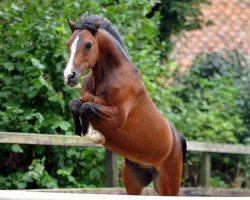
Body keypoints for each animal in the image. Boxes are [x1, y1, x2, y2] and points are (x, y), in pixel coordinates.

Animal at [63, 15, 187, 195]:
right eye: (68, 44)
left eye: (88, 44)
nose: (69, 77)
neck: (109, 75)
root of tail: (177, 139)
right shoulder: (86, 100)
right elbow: (75, 104)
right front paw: (81, 131)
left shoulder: (116, 118)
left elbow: (86, 107)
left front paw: (93, 134)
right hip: (133, 180)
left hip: (168, 185)